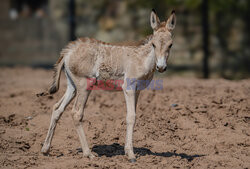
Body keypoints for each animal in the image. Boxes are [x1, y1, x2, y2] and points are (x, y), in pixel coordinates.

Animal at [40, 9, 176, 162]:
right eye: (153, 44)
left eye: (170, 45)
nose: (161, 67)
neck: (142, 59)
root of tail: (68, 51)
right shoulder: (128, 88)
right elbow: (131, 117)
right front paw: (131, 155)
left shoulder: (137, 91)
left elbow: (133, 116)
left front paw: (127, 150)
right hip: (84, 86)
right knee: (76, 113)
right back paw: (88, 153)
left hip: (72, 87)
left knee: (57, 108)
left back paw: (45, 149)